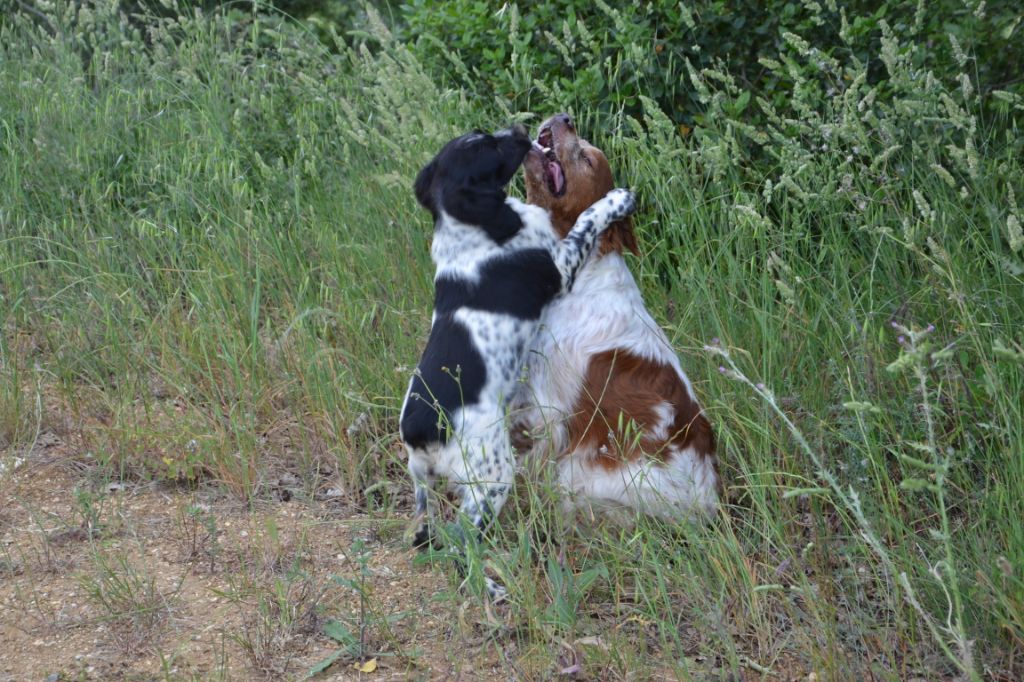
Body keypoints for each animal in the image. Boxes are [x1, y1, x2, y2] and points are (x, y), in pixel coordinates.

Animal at [397, 122, 630, 593]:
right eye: (490, 146)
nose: (520, 128)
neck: (473, 229)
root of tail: (419, 427)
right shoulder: (561, 265)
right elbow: (586, 220)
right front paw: (616, 199)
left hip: (421, 482)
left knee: (426, 527)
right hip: (491, 477)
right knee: (462, 540)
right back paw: (488, 587)